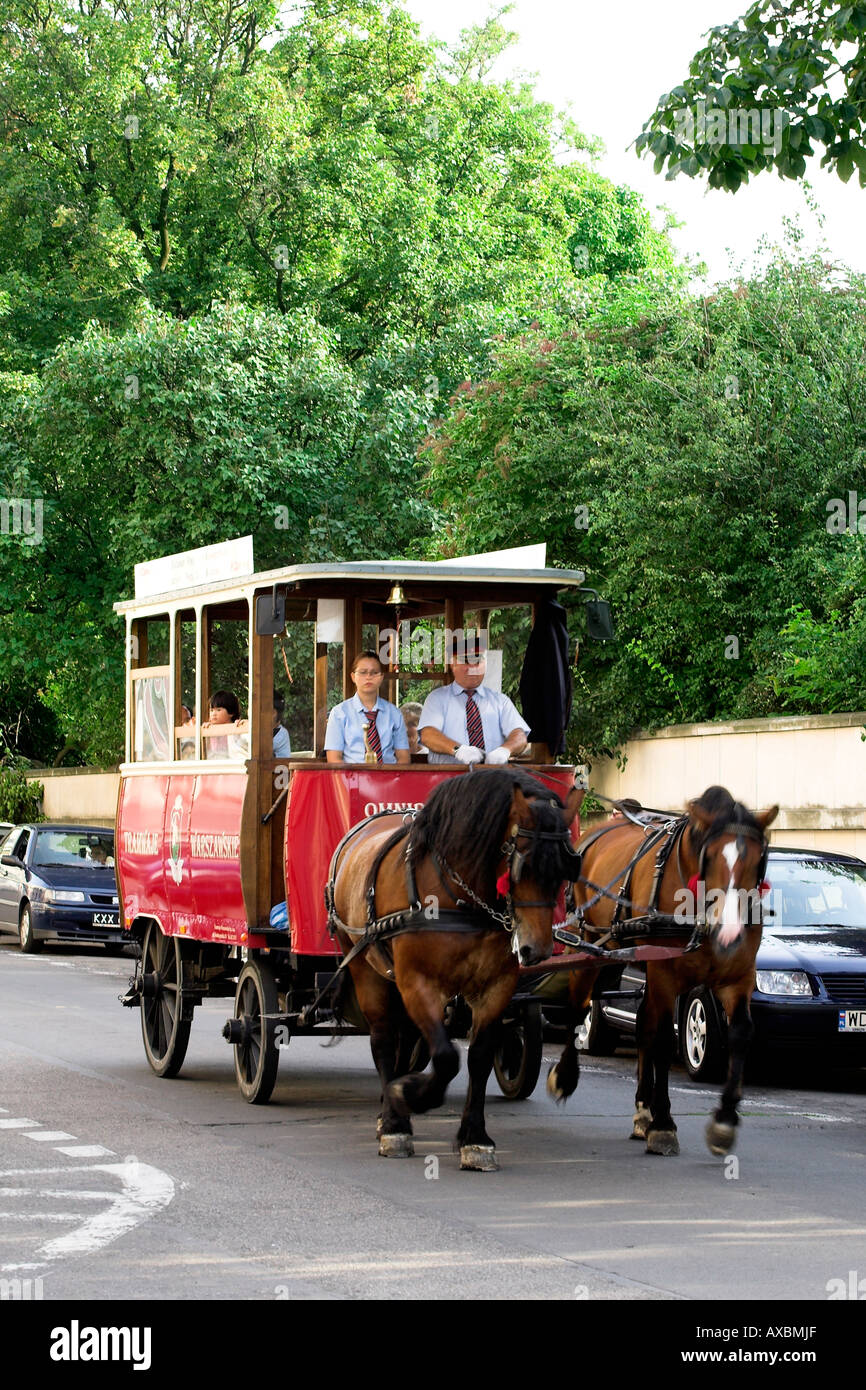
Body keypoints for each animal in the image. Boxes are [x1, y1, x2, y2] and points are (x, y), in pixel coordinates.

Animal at [326, 767, 583, 1167]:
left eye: (564, 870)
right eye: (522, 867)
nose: (536, 950)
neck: (461, 896)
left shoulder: (497, 986)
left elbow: (478, 1056)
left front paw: (475, 1138)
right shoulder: (418, 982)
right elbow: (447, 1057)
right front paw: (413, 1096)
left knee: (403, 1039)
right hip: (363, 965)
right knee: (383, 1038)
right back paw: (394, 1122)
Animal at [547, 789, 778, 1156]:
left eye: (758, 860)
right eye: (711, 857)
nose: (728, 933)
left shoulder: (737, 977)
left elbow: (740, 1033)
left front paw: (724, 1121)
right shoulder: (664, 975)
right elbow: (664, 1042)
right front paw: (664, 1124)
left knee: (642, 1024)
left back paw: (642, 1111)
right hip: (586, 947)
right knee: (577, 1008)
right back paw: (566, 1076)